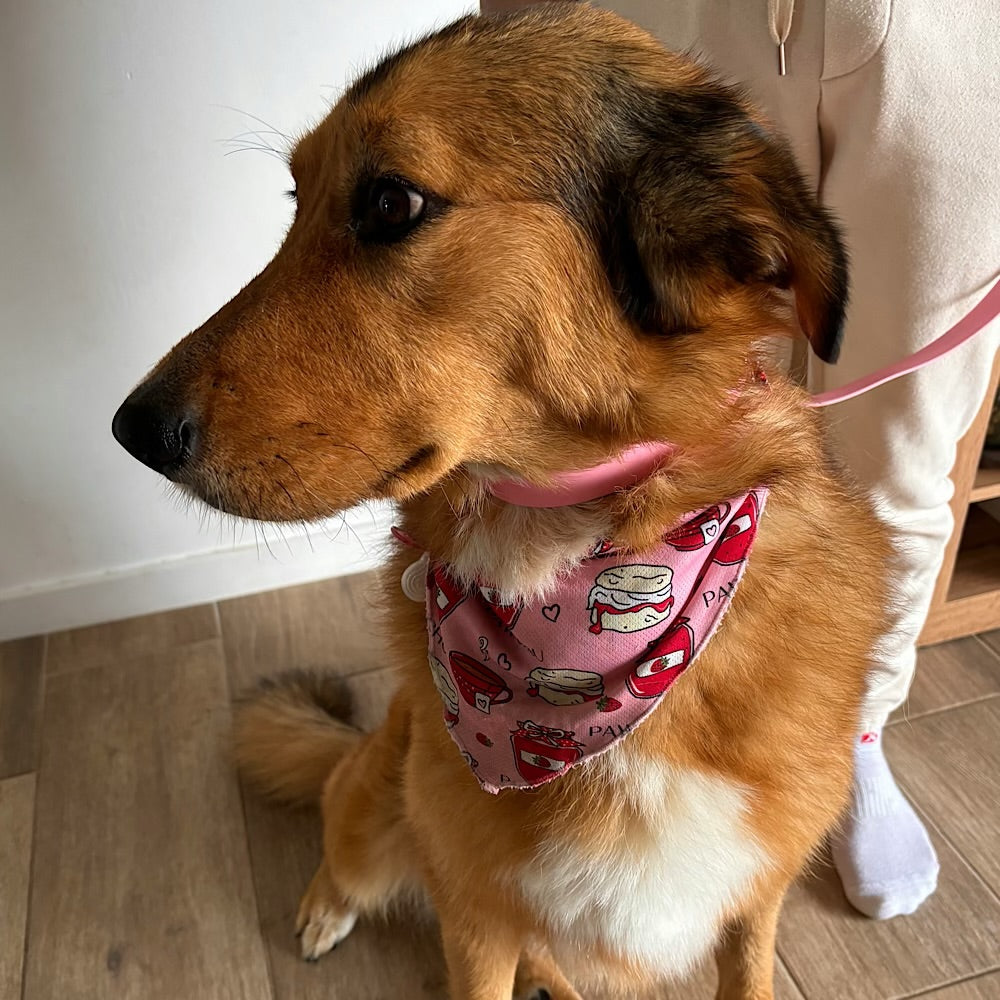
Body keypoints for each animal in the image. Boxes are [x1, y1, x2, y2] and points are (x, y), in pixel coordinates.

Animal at [113, 3, 888, 996]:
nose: (130, 431)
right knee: (340, 818)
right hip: (384, 798)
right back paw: (328, 904)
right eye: (296, 202)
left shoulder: (757, 900)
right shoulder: (476, 919)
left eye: (391, 204)